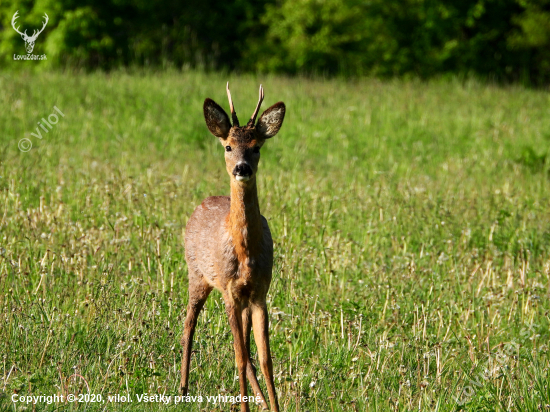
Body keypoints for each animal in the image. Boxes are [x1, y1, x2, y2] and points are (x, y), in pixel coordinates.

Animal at [181, 83, 286, 412]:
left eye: (257, 146)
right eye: (228, 146)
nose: (242, 167)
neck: (245, 253)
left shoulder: (260, 292)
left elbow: (264, 360)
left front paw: (274, 406)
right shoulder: (229, 290)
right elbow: (239, 358)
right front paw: (243, 407)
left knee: (248, 352)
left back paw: (260, 400)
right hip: (196, 274)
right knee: (188, 325)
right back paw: (182, 389)